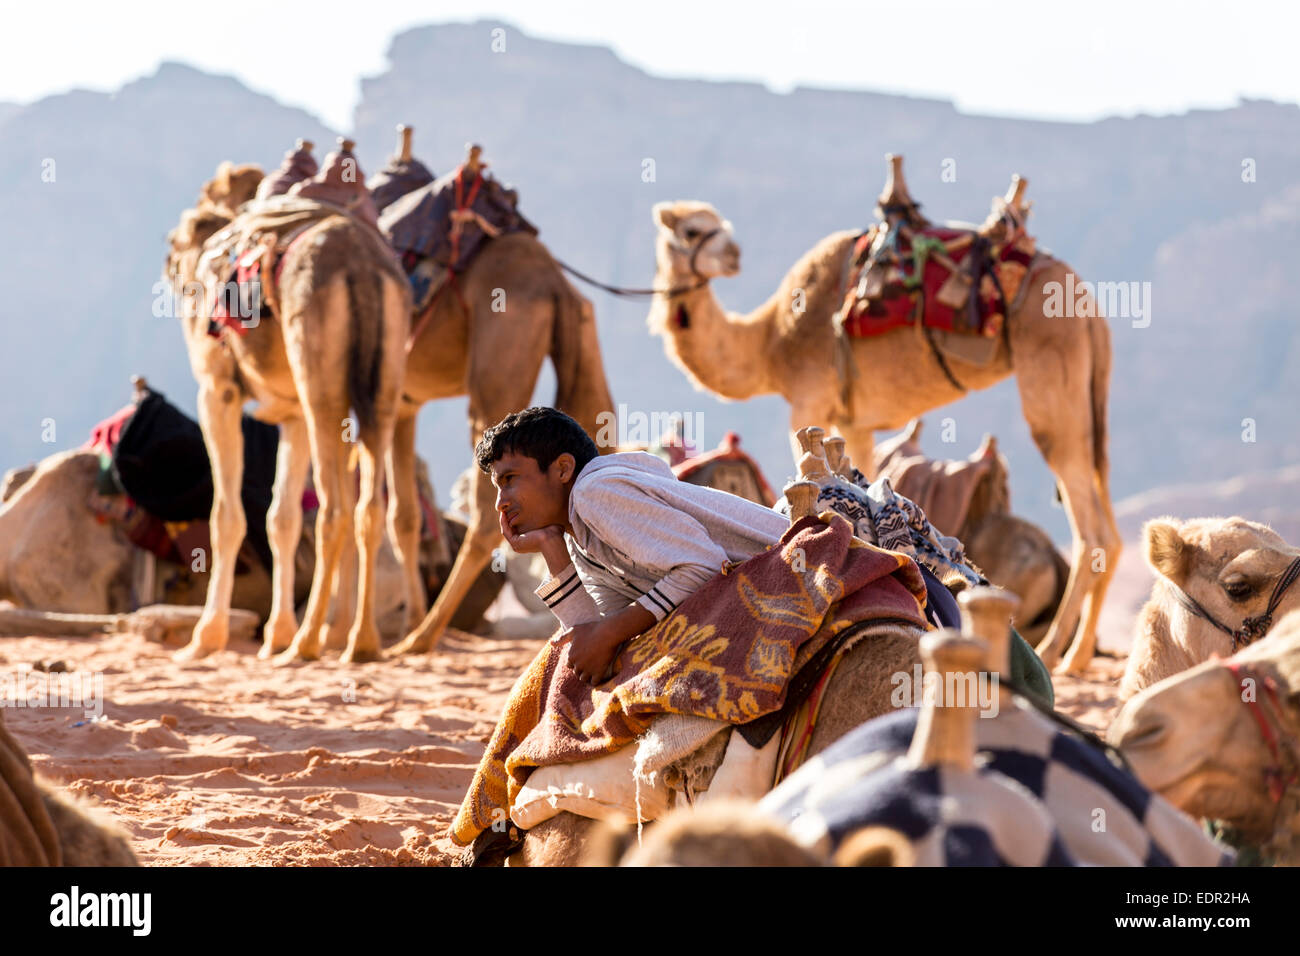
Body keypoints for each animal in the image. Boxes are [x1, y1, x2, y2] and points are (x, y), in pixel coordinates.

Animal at [165, 159, 410, 664]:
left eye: (179, 237)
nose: (168, 261)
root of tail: (362, 267)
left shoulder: (217, 391)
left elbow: (226, 516)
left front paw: (206, 637)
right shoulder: (291, 414)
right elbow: (282, 518)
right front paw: (274, 632)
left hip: (320, 387)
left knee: (334, 509)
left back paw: (308, 642)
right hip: (383, 387)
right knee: (369, 508)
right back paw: (360, 642)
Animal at [646, 157, 1119, 676]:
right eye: (694, 230)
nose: (732, 255)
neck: (770, 342)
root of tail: (1089, 308)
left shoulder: (807, 397)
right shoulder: (856, 422)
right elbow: (862, 478)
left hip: (1053, 375)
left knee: (1090, 528)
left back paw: (1056, 653)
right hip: (1089, 393)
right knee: (1109, 526)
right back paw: (1077, 654)